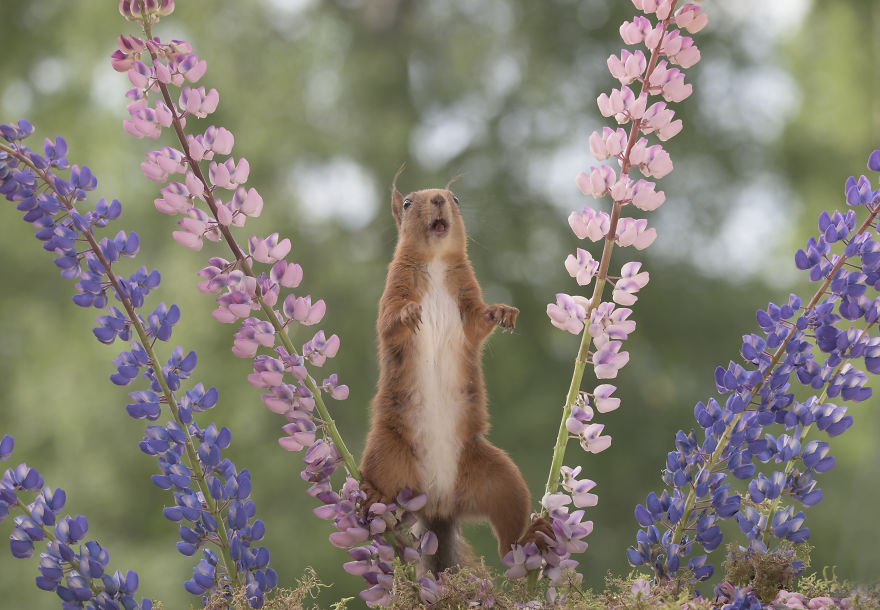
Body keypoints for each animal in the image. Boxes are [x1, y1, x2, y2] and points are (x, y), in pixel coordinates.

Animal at [359, 170, 545, 575]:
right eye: (408, 202)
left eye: (456, 198)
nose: (439, 200)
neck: (436, 261)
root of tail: (438, 504)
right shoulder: (391, 291)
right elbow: (389, 323)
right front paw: (409, 314)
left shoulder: (468, 298)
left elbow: (479, 323)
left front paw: (503, 312)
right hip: (387, 454)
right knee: (383, 490)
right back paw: (370, 494)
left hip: (500, 479)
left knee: (508, 537)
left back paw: (530, 540)